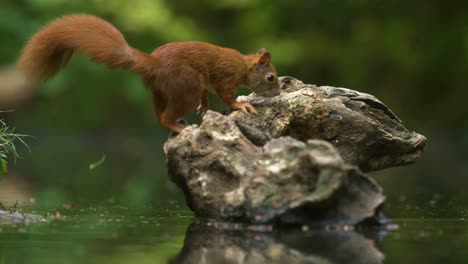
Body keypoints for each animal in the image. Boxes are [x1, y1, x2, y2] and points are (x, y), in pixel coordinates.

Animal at [18, 13, 280, 133]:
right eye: (271, 77)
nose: (277, 93)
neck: (244, 66)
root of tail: (154, 63)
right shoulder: (227, 78)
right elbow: (226, 95)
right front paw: (240, 105)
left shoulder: (208, 84)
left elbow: (208, 94)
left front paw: (205, 106)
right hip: (187, 86)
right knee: (165, 116)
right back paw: (179, 127)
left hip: (161, 92)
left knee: (159, 115)